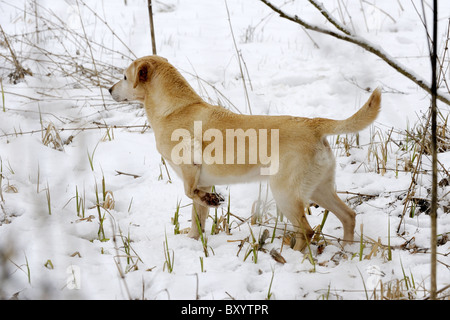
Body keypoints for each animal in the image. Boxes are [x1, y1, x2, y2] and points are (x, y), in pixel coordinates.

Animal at [109, 55, 380, 252]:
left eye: (124, 76)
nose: (110, 89)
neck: (175, 108)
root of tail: (314, 124)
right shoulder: (203, 182)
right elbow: (197, 217)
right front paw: (193, 241)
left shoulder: (190, 170)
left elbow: (190, 193)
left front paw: (212, 201)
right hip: (319, 189)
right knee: (348, 216)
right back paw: (346, 251)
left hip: (285, 193)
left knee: (307, 230)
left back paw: (293, 259)